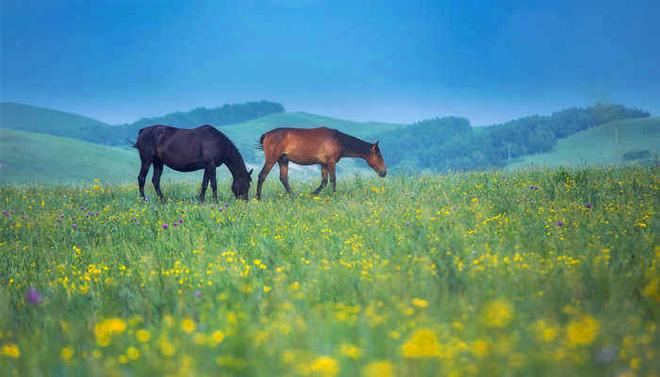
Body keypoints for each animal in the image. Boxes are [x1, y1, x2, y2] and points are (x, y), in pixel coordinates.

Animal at [255, 127, 384, 200]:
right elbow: (333, 180)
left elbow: (324, 182)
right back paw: (258, 198)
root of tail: (267, 134)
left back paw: (294, 197)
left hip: (283, 160)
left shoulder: (323, 164)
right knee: (262, 176)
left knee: (283, 178)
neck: (338, 140)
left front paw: (312, 194)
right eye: (378, 155)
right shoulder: (331, 162)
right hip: (272, 159)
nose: (384, 172)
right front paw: (334, 196)